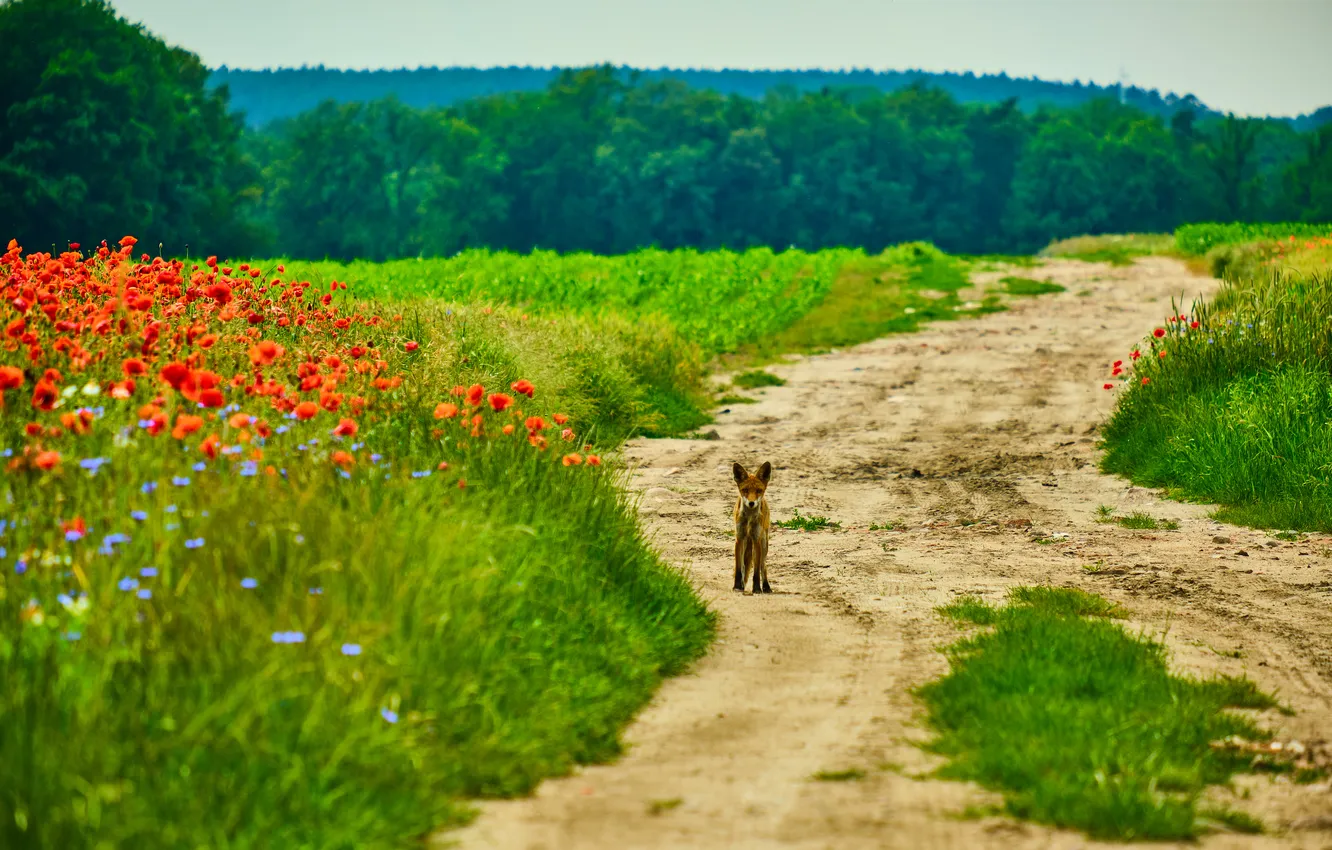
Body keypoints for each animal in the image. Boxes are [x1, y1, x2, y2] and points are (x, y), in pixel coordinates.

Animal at [732, 461, 772, 595]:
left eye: (759, 490)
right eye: (745, 490)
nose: (751, 503)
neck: (749, 519)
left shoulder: (756, 540)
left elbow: (756, 572)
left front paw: (757, 588)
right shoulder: (739, 539)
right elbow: (739, 568)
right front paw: (737, 586)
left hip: (764, 544)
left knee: (763, 567)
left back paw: (766, 587)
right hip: (746, 542)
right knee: (744, 566)